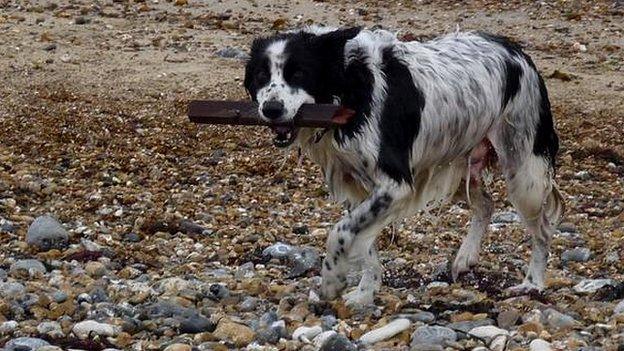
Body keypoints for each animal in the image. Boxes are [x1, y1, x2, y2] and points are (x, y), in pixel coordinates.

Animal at [244, 26, 564, 306]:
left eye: (299, 73)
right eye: (261, 75)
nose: (271, 109)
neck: (348, 86)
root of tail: (516, 50)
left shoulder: (395, 185)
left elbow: (341, 231)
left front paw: (332, 280)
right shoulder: (358, 189)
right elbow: (363, 244)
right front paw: (365, 293)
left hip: (524, 171)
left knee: (543, 230)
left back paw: (533, 283)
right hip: (455, 164)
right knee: (486, 203)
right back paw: (466, 257)